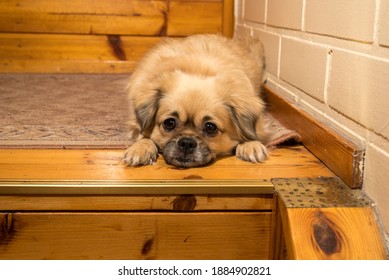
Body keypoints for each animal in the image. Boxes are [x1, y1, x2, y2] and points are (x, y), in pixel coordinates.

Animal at [123, 34, 266, 167]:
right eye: (169, 123)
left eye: (210, 127)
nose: (186, 142)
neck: (198, 70)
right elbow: (143, 135)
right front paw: (141, 148)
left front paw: (251, 144)